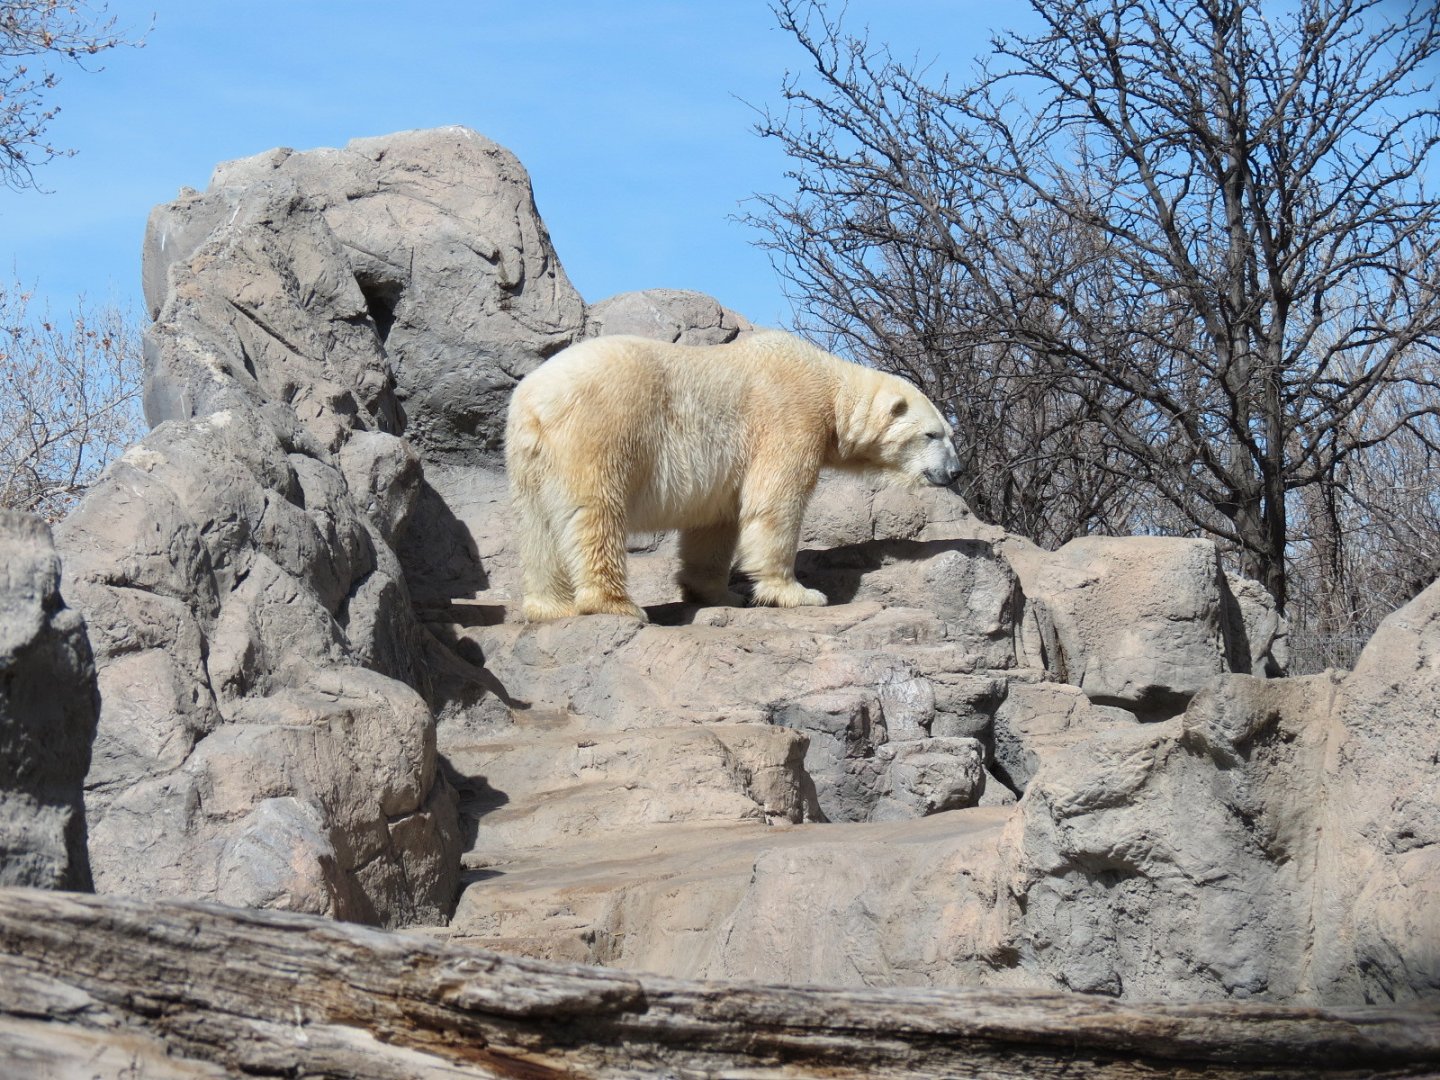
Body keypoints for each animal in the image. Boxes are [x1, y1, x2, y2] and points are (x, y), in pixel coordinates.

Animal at [505, 329, 961, 621]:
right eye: (931, 434)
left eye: (950, 433)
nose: (955, 472)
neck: (828, 383)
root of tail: (536, 400)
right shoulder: (788, 417)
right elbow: (775, 503)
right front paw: (799, 594)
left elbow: (714, 523)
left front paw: (718, 593)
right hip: (601, 429)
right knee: (595, 512)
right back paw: (615, 604)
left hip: (529, 457)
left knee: (538, 526)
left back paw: (550, 606)